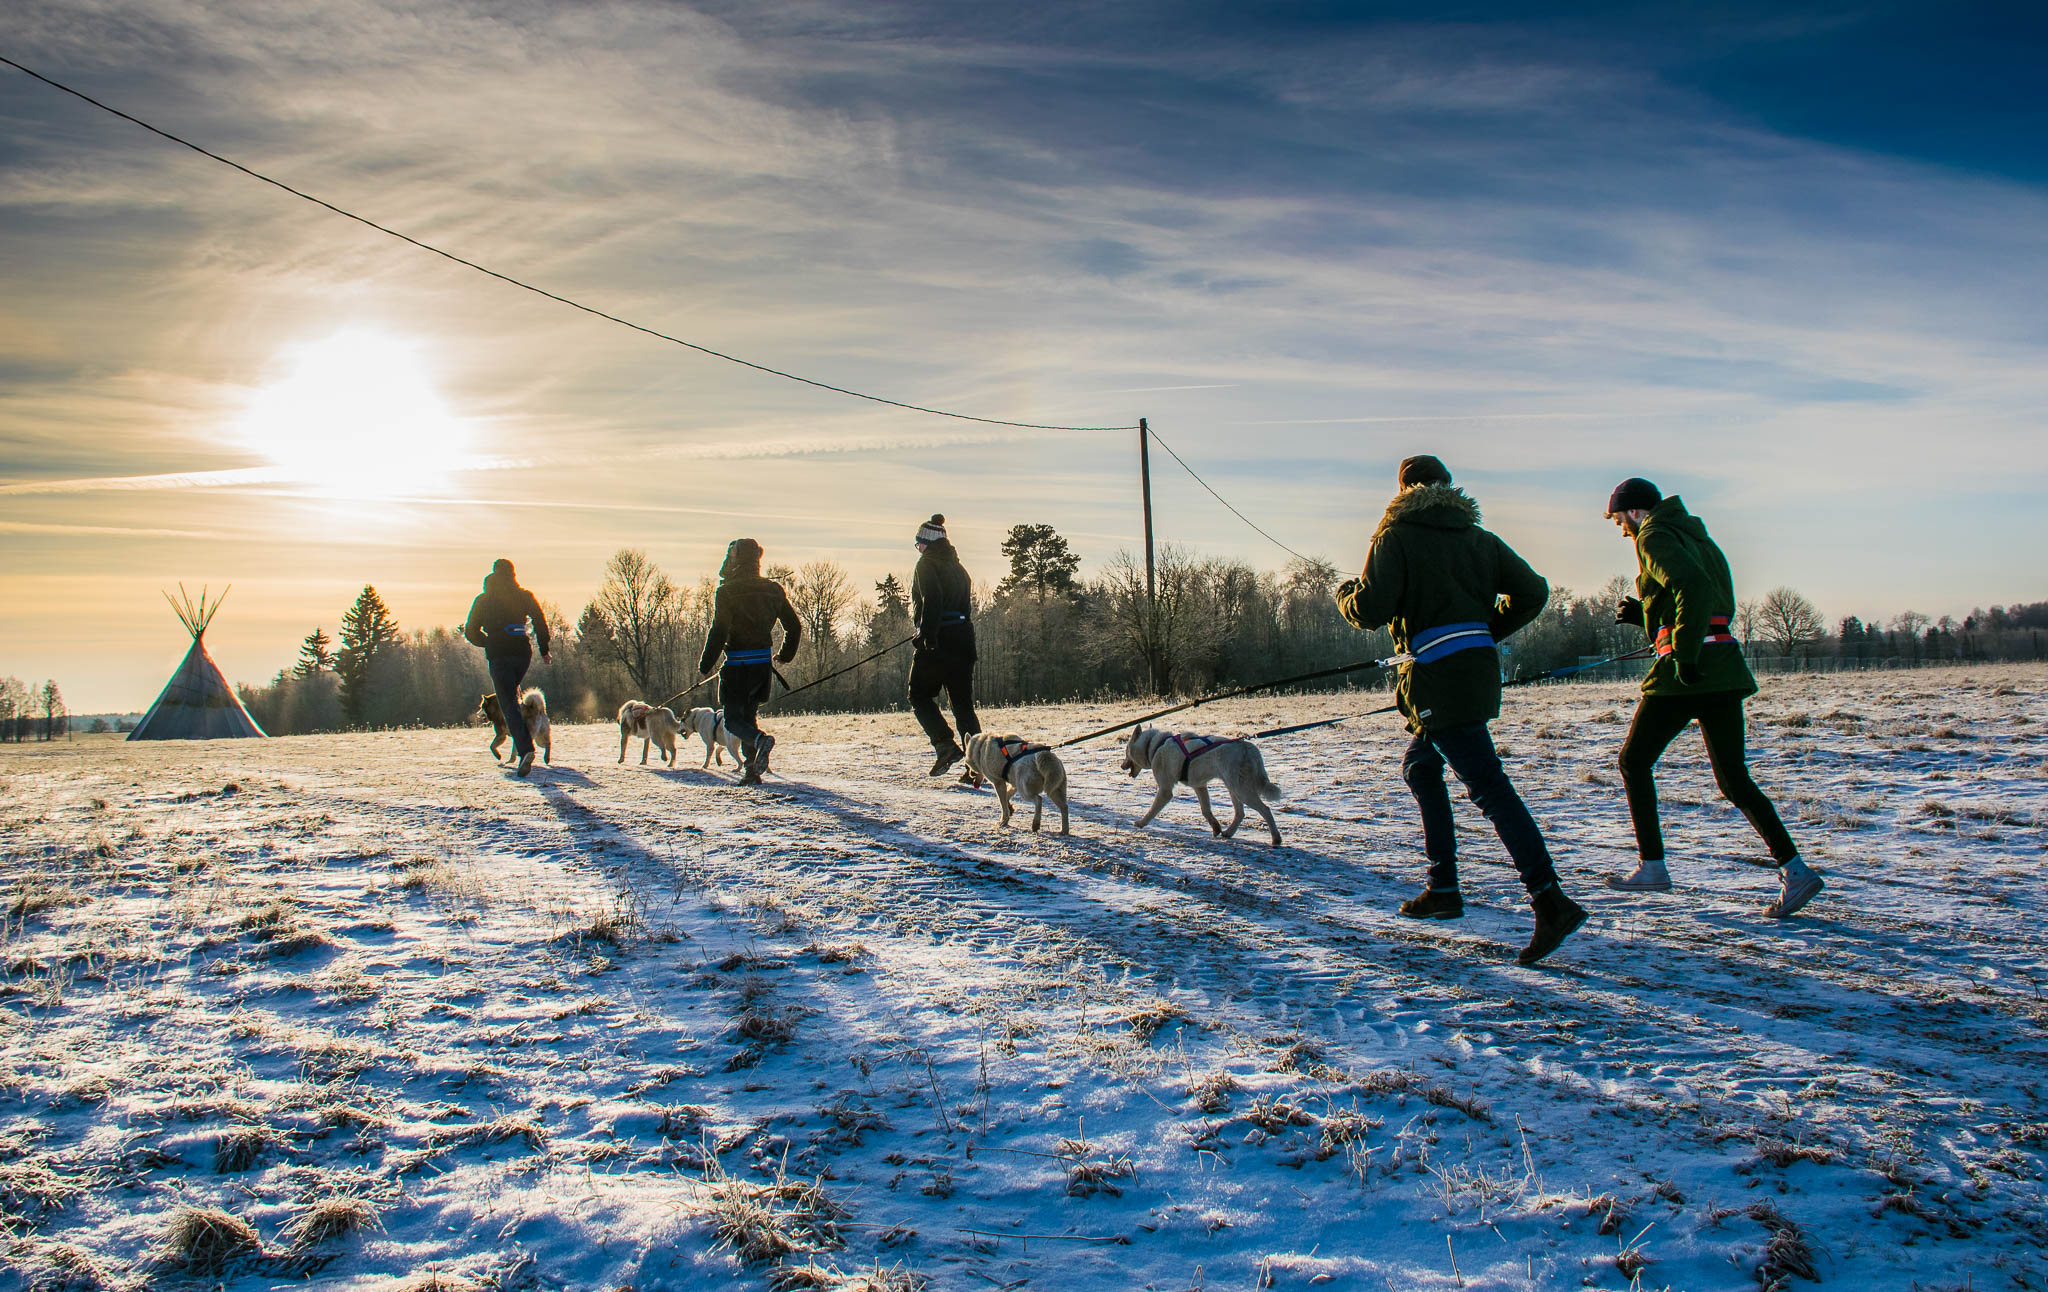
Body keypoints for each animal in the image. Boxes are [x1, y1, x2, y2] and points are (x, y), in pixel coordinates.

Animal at [1122, 728, 1277, 847]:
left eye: (1126, 750)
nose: (1122, 766)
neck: (1153, 746)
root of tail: (1248, 748)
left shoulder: (1165, 791)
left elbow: (1151, 812)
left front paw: (1141, 823)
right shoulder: (1199, 786)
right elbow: (1206, 810)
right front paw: (1216, 828)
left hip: (1241, 791)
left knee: (1266, 810)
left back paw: (1276, 839)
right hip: (1234, 789)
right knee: (1240, 813)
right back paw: (1228, 832)